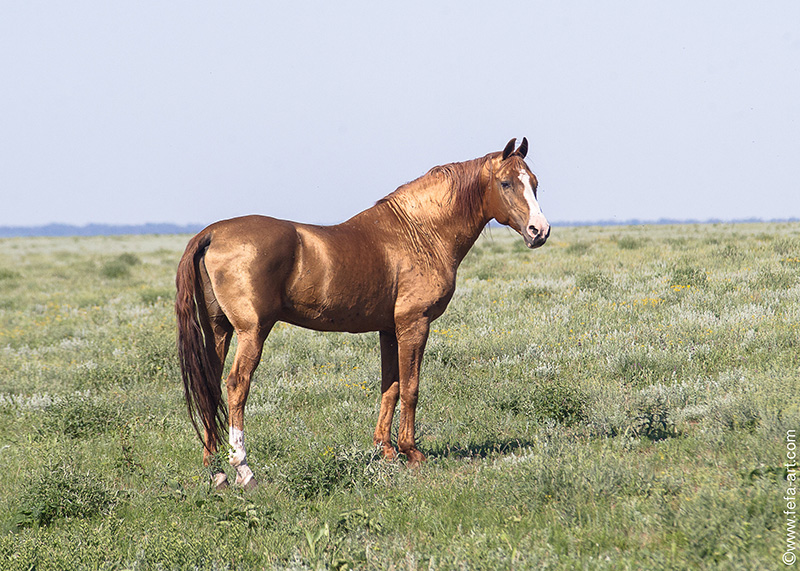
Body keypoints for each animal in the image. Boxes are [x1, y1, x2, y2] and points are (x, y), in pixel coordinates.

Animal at [175, 136, 552, 490]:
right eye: (506, 183)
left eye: (534, 182)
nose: (540, 231)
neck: (419, 233)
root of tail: (211, 233)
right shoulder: (414, 324)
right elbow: (411, 387)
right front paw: (411, 452)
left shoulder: (389, 329)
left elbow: (391, 387)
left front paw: (385, 451)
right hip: (252, 332)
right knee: (236, 385)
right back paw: (243, 469)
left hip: (219, 330)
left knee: (210, 385)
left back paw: (216, 471)